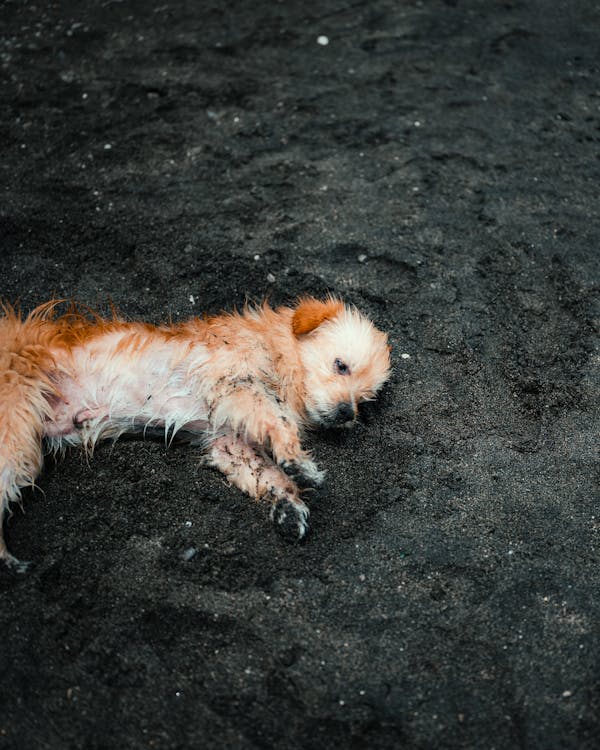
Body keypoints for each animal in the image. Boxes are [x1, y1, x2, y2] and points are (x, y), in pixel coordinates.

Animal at [0, 296, 392, 572]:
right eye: (341, 366)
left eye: (365, 399)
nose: (346, 414)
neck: (277, 352)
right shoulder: (236, 383)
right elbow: (276, 421)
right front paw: (297, 460)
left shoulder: (228, 441)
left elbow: (265, 474)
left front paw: (288, 505)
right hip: (15, 435)